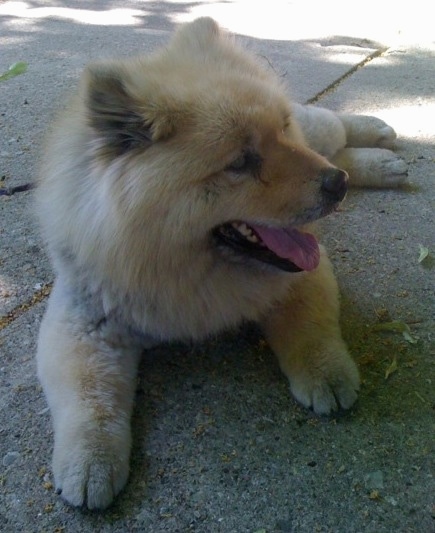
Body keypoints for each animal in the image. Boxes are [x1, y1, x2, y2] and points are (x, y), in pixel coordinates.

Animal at [35, 15, 408, 508]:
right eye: (241, 163)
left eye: (281, 131)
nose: (337, 186)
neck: (184, 272)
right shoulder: (83, 321)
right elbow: (87, 396)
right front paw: (89, 462)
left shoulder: (301, 276)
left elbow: (312, 329)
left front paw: (327, 375)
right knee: (338, 147)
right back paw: (373, 163)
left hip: (317, 131)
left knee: (336, 129)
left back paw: (378, 141)